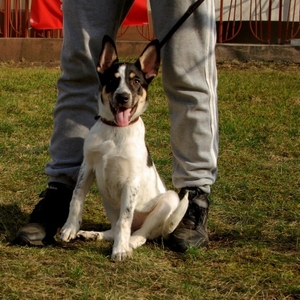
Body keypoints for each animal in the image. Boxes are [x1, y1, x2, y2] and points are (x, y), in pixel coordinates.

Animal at [59, 34, 189, 260]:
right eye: (112, 80)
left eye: (136, 81)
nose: (123, 97)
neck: (115, 131)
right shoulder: (88, 166)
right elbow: (76, 197)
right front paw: (70, 228)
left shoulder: (131, 182)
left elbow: (125, 219)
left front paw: (120, 250)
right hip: (107, 199)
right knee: (115, 228)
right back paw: (93, 234)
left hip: (169, 200)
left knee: (142, 233)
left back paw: (130, 243)